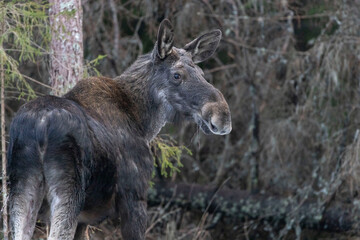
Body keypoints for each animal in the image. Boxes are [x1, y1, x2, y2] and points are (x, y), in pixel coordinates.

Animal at [9, 19, 233, 239]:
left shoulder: (84, 220)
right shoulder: (134, 196)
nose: (222, 115)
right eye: (177, 75)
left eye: (202, 73)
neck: (143, 123)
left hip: (21, 190)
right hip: (68, 193)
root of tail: (40, 127)